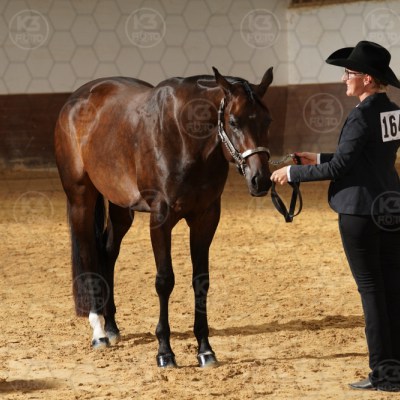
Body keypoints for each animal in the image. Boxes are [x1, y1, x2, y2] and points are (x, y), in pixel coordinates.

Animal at [54, 67, 274, 368]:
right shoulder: (160, 219)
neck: (184, 139)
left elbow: (201, 281)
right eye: (233, 121)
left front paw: (205, 350)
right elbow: (164, 281)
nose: (260, 180)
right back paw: (98, 331)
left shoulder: (206, 218)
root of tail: (74, 101)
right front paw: (164, 352)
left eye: (267, 120)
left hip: (121, 207)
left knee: (108, 253)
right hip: (81, 199)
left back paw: (111, 326)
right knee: (88, 254)